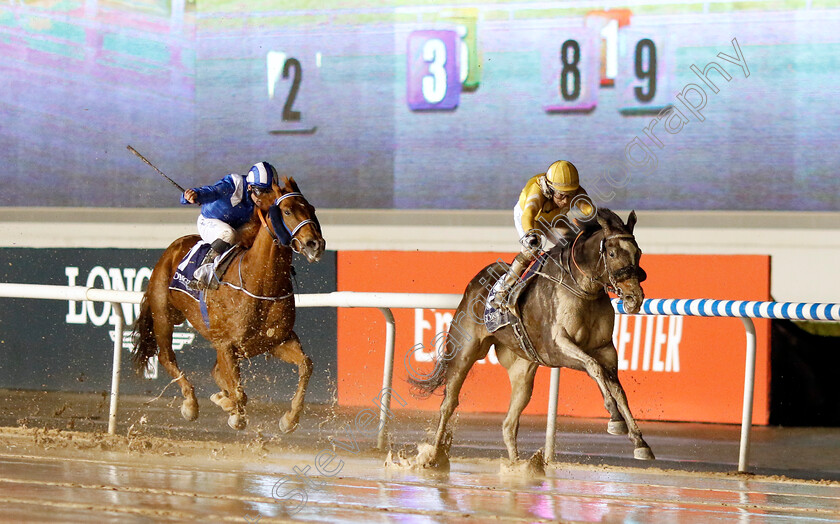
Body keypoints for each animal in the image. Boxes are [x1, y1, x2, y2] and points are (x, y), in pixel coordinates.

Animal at [132, 176, 324, 430]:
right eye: (287, 210)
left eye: (311, 208)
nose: (316, 244)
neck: (259, 282)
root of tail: (174, 246)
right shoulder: (225, 344)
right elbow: (239, 394)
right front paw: (232, 410)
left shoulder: (274, 341)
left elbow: (306, 365)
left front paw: (289, 418)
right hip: (162, 313)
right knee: (166, 357)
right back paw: (191, 404)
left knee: (214, 370)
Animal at [404, 208, 652, 466]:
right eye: (612, 253)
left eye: (638, 252)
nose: (634, 297)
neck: (582, 289)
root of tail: (477, 282)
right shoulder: (556, 348)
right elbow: (594, 368)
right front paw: (614, 417)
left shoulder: (605, 349)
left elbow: (618, 389)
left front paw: (639, 441)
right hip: (464, 351)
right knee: (448, 404)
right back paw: (433, 455)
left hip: (522, 371)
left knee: (509, 423)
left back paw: (518, 466)